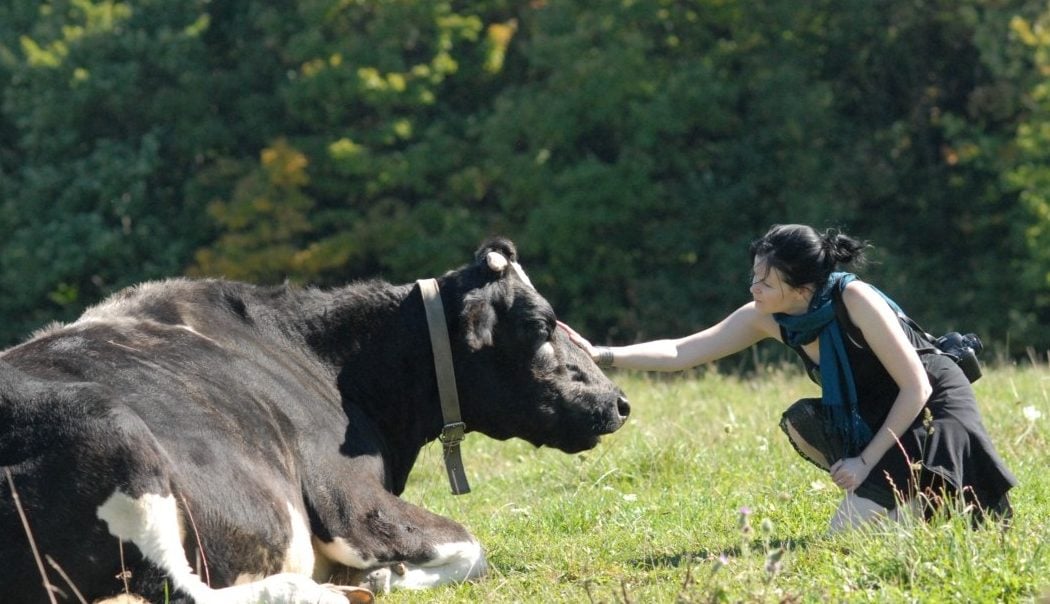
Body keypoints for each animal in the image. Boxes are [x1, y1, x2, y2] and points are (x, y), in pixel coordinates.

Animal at [0, 238, 625, 600]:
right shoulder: (348, 499)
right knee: (184, 590)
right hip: (113, 433)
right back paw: (314, 593)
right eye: (540, 325)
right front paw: (386, 576)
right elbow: (472, 548)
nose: (618, 401)